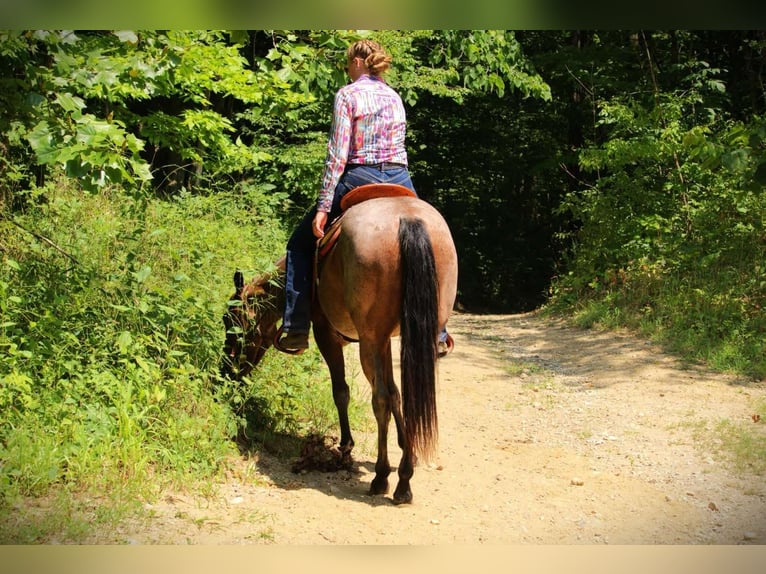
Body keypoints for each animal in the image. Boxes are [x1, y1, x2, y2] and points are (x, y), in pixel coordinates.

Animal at [221, 187, 458, 504]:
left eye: (229, 321)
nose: (227, 369)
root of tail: (407, 219)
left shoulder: (327, 334)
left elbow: (342, 392)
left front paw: (346, 445)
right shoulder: (383, 342)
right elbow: (396, 394)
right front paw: (405, 445)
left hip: (369, 339)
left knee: (380, 399)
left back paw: (384, 478)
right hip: (398, 337)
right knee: (401, 395)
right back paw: (403, 475)